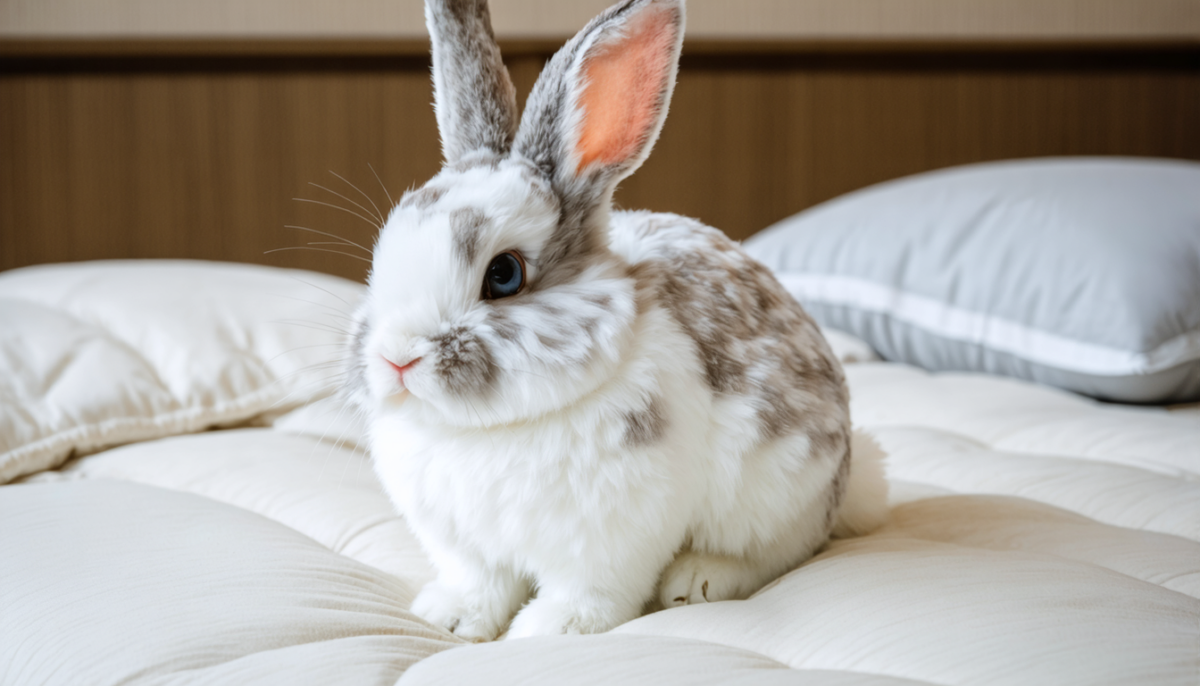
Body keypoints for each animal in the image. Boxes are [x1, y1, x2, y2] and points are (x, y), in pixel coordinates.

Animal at [345, 0, 888, 641]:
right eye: (384, 252)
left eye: (503, 274)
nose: (395, 358)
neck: (483, 430)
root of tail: (850, 479)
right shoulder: (464, 546)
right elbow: (478, 583)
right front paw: (450, 620)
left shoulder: (609, 541)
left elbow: (592, 594)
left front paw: (550, 629)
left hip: (782, 491)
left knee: (779, 552)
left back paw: (699, 580)